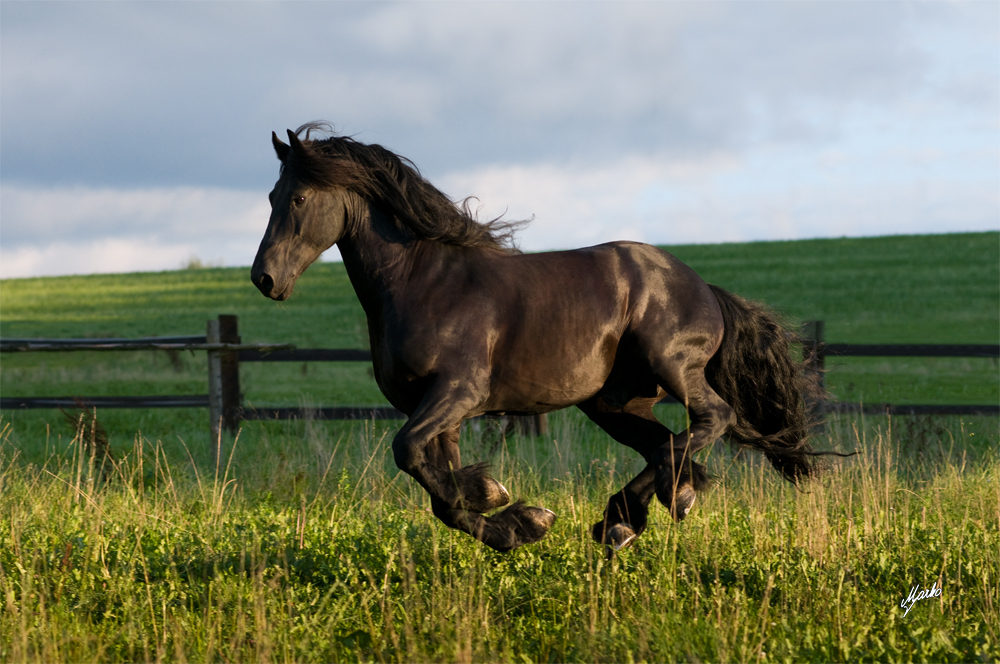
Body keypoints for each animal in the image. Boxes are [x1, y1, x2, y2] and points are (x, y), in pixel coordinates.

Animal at [252, 124, 828, 556]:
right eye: (271, 195)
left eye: (298, 198)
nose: (264, 278)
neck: (422, 282)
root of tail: (703, 287)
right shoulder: (440, 412)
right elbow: (442, 495)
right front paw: (512, 516)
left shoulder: (457, 393)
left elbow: (407, 453)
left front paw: (503, 503)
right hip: (613, 403)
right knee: (666, 445)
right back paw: (642, 511)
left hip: (671, 366)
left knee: (712, 418)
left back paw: (643, 508)